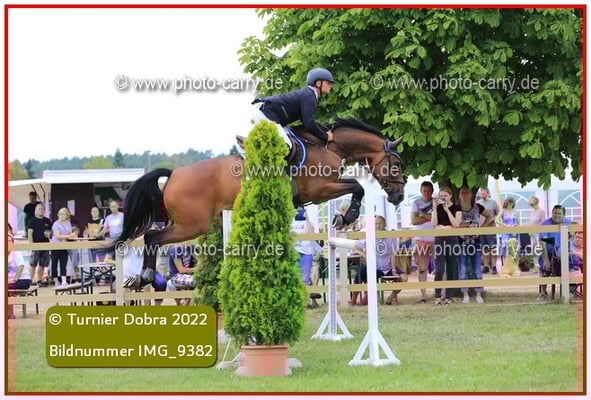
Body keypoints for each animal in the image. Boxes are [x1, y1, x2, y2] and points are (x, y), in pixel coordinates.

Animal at [112, 118, 406, 285]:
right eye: (396, 164)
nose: (399, 196)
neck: (329, 147)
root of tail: (173, 174)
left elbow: (355, 186)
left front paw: (342, 217)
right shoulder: (320, 190)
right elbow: (357, 186)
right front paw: (347, 216)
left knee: (152, 237)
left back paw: (141, 278)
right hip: (192, 225)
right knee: (152, 236)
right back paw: (144, 277)